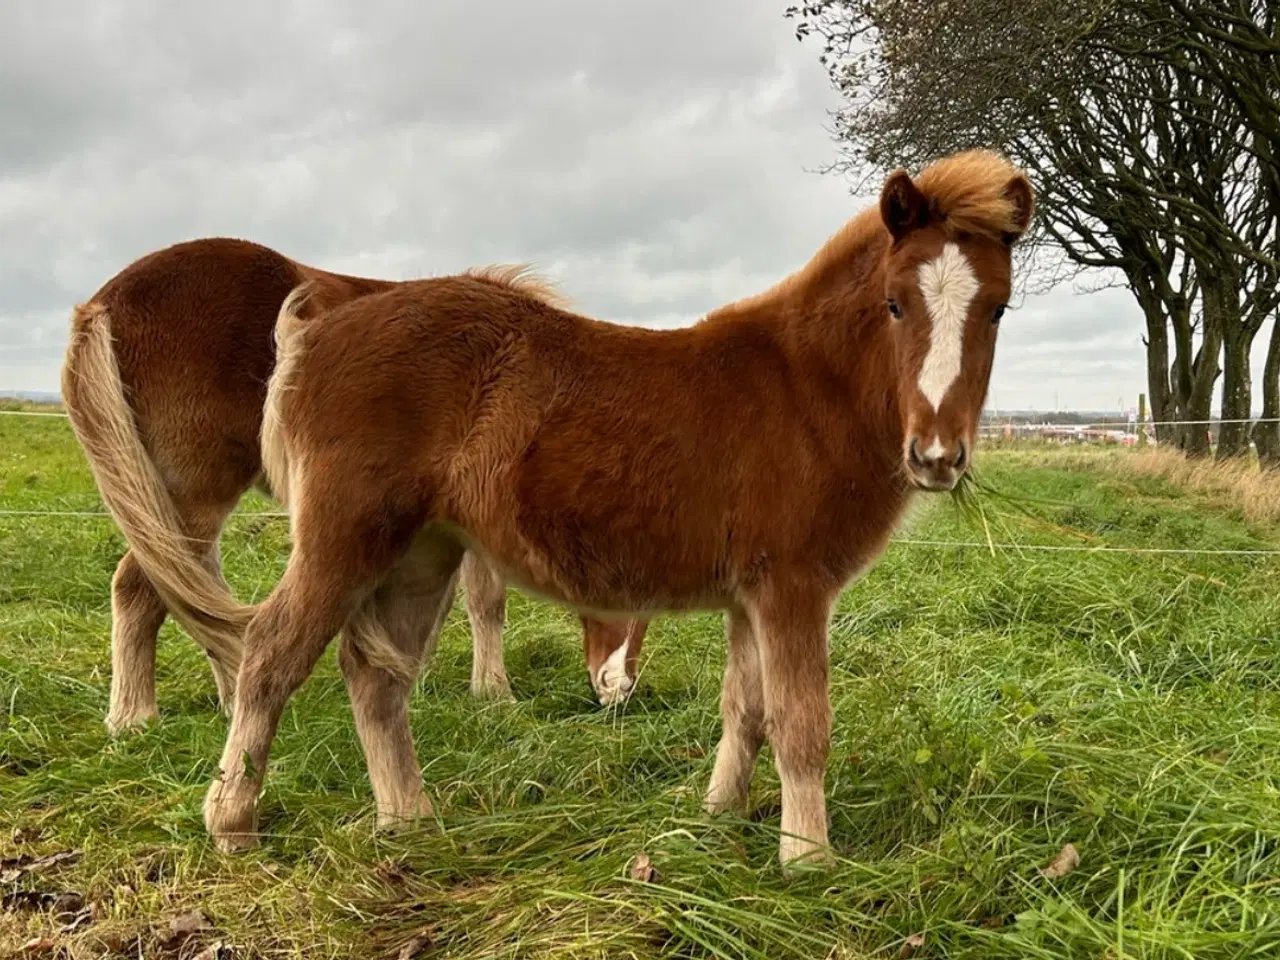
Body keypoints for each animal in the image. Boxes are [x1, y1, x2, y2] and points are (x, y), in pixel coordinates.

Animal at [58, 240, 645, 737]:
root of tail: (106, 303)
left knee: (195, 588)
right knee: (142, 588)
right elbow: (486, 600)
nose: (619, 692)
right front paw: (494, 695)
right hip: (192, 495)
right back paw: (133, 718)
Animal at [185, 148, 1029, 865]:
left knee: (376, 675)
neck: (804, 389)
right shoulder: (793, 588)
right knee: (271, 654)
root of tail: (313, 332)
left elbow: (745, 709)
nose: (936, 457)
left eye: (997, 309)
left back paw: (411, 824)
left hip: (422, 550)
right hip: (345, 537)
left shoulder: (750, 596)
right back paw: (233, 825)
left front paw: (720, 816)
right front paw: (808, 861)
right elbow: (801, 724)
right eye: (894, 304)